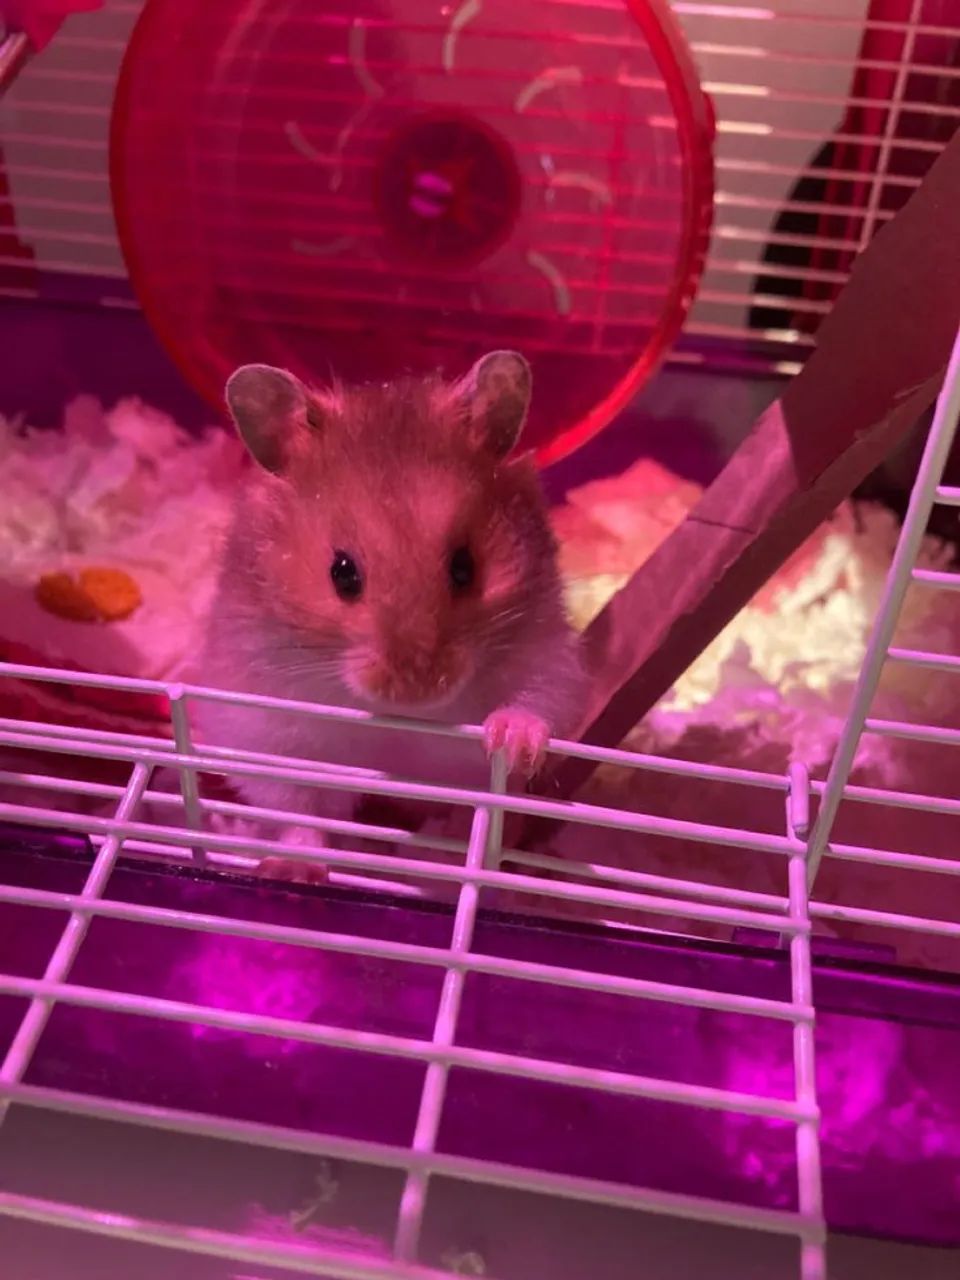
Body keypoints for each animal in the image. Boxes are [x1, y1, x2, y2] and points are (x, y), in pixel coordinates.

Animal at [192, 350, 585, 856]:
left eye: (464, 567)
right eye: (342, 573)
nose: (417, 690)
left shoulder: (548, 654)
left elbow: (535, 704)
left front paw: (510, 739)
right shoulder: (260, 726)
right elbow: (296, 811)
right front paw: (299, 862)